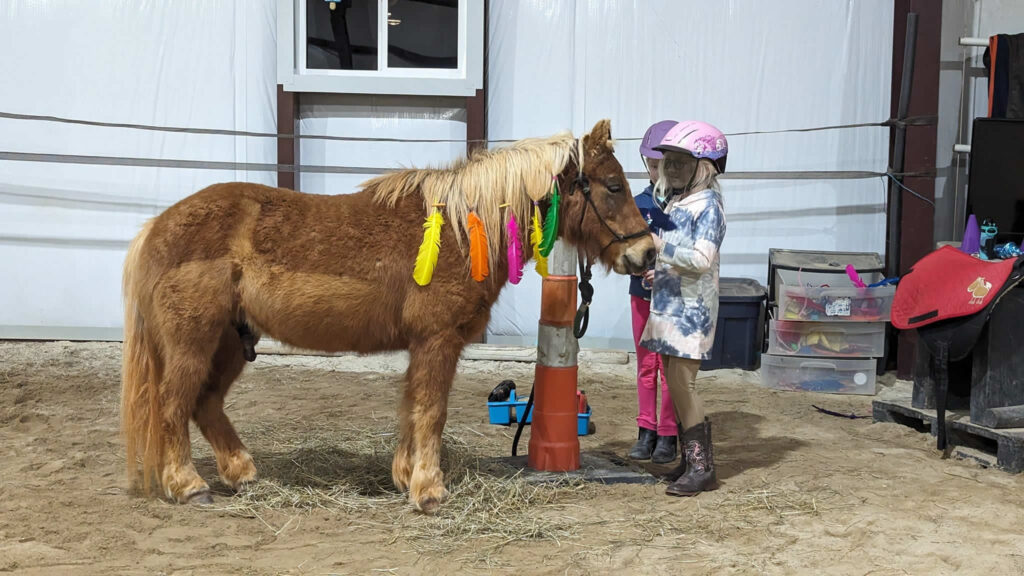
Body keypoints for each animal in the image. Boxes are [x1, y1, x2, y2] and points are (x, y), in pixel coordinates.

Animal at [120, 119, 656, 513]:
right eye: (613, 185)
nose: (647, 253)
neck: (462, 227)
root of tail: (156, 227)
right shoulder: (438, 340)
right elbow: (432, 411)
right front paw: (429, 490)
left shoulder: (423, 345)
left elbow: (412, 407)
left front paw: (405, 477)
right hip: (194, 341)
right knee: (173, 405)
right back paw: (188, 484)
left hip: (230, 343)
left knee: (205, 403)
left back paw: (242, 473)